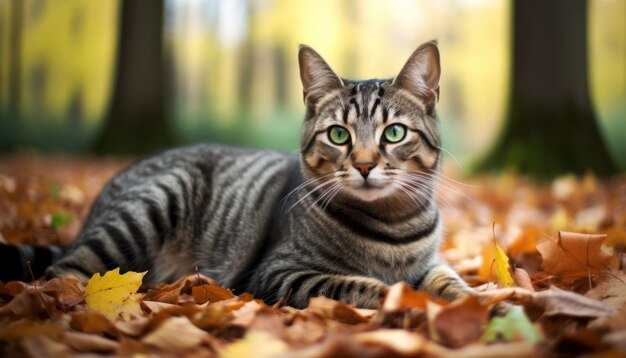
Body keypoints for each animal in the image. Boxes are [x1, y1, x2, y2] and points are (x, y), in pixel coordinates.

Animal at [34, 41, 470, 308]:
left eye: (393, 133)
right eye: (339, 135)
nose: (364, 165)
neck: (393, 226)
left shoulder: (431, 264)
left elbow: (450, 281)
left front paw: (474, 300)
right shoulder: (279, 273)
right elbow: (360, 285)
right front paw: (403, 300)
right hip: (150, 205)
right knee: (64, 273)